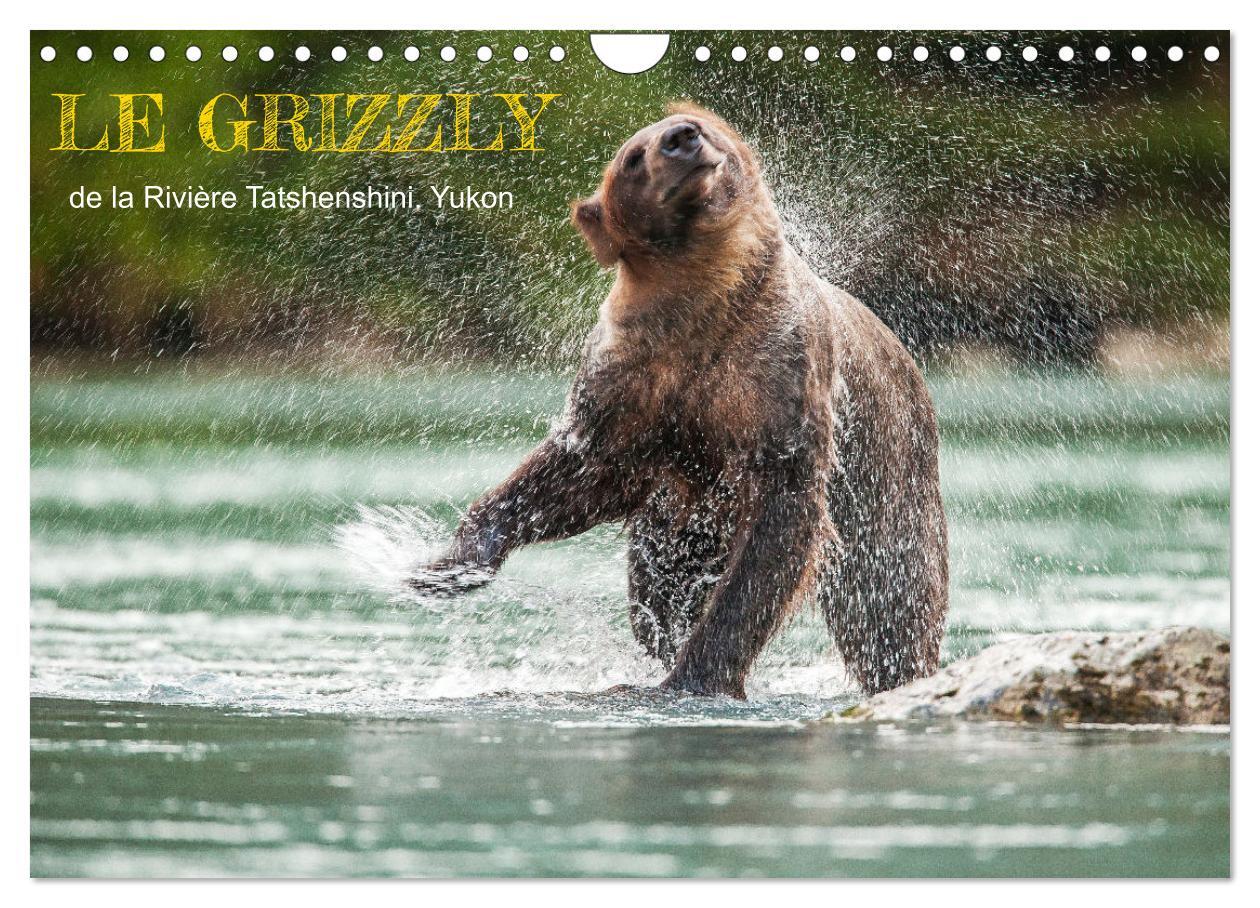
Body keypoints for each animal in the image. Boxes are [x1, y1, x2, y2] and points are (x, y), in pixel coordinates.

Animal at [410, 104, 949, 698]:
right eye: (632, 156)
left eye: (703, 127)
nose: (681, 137)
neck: (700, 304)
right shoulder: (633, 385)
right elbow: (575, 472)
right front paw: (447, 567)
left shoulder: (778, 383)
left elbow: (773, 541)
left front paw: (697, 673)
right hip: (676, 524)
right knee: (658, 588)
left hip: (885, 483)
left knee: (887, 605)